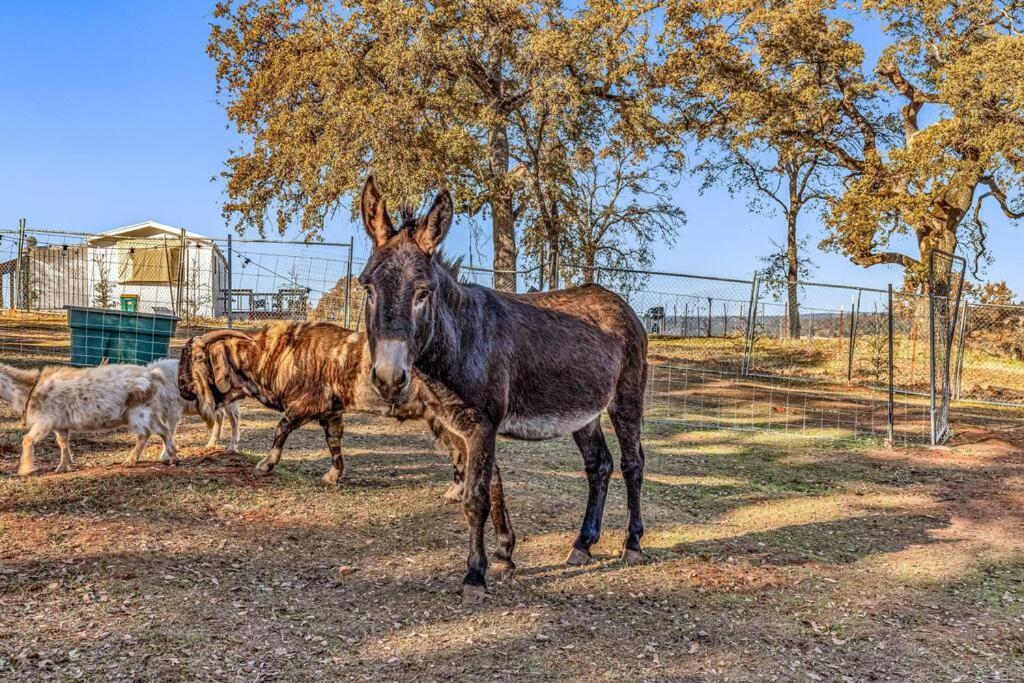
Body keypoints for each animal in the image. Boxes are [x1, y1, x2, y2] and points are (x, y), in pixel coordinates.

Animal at [0, 358, 241, 475]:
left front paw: (25, 469)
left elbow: (27, 440)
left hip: (140, 412)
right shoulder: (60, 424)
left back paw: (133, 461)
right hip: (148, 411)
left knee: (149, 434)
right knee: (161, 431)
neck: (30, 389)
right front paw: (63, 466)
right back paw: (173, 457)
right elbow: (63, 443)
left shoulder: (45, 421)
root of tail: (152, 376)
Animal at [178, 321, 462, 489]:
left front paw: (266, 465)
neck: (279, 354)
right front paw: (333, 476)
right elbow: (333, 442)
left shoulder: (305, 405)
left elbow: (281, 429)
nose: (181, 388)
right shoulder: (331, 412)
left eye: (192, 360)